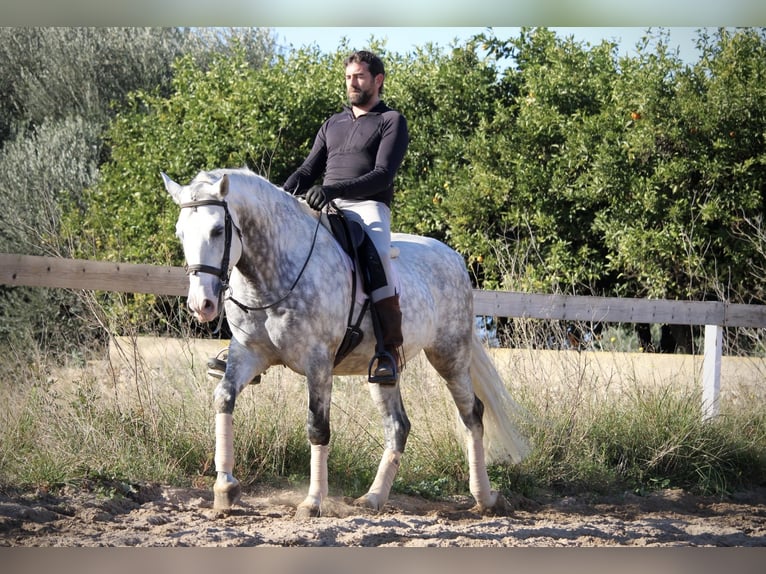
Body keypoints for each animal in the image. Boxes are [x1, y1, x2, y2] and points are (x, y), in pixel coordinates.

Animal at [164, 169, 532, 520]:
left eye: (217, 230)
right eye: (181, 233)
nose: (201, 305)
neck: (272, 274)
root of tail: (452, 256)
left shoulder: (318, 363)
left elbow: (317, 428)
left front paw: (312, 502)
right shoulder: (248, 353)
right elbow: (223, 399)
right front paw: (225, 489)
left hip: (449, 355)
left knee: (472, 415)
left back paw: (485, 498)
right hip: (384, 370)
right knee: (398, 426)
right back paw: (373, 498)